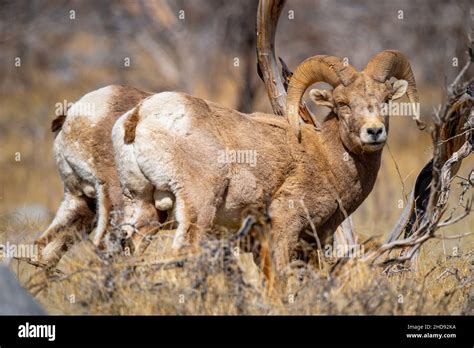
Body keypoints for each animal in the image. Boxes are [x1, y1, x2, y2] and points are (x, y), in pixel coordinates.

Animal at [116, 50, 424, 276]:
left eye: (385, 100)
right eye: (342, 103)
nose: (374, 132)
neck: (326, 157)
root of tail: (139, 116)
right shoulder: (286, 228)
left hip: (144, 210)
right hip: (197, 211)